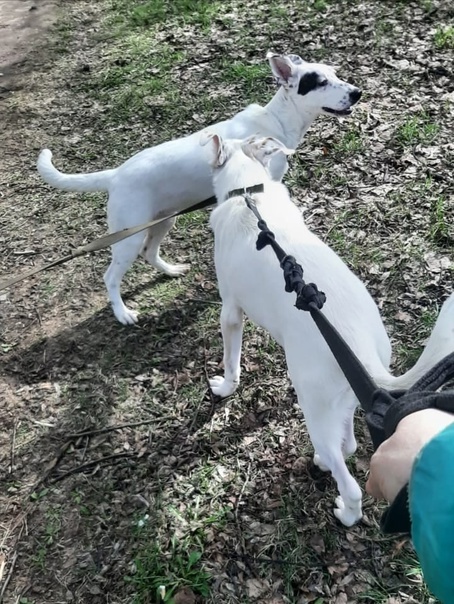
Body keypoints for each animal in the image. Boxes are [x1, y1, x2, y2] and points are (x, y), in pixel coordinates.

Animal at [37, 52, 361, 325]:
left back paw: (170, 271)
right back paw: (122, 313)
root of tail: (115, 175)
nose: (357, 93)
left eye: (335, 73)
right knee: (111, 276)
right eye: (320, 82)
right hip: (128, 236)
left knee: (149, 252)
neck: (277, 121)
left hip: (163, 221)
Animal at [206, 133, 454, 526]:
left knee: (349, 480)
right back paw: (326, 460)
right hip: (344, 399)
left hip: (315, 407)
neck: (248, 193)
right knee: (348, 444)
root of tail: (364, 356)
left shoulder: (230, 311)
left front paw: (225, 387)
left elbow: (232, 361)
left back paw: (346, 511)